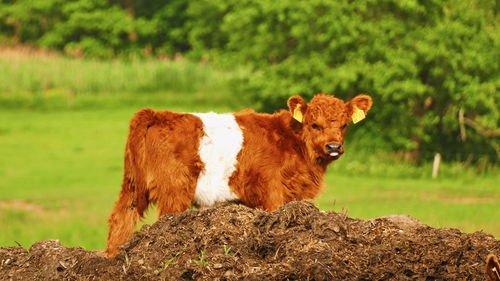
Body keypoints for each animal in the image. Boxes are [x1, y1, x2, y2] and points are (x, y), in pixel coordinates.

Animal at [105, 93, 372, 256]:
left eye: (344, 125)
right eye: (314, 124)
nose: (334, 147)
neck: (293, 140)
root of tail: (156, 113)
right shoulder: (272, 192)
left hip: (132, 187)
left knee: (120, 220)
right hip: (175, 190)